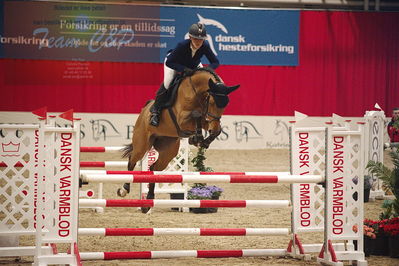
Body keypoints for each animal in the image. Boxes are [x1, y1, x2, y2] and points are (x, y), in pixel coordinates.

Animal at [117, 67, 239, 213]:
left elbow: (214, 127)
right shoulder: (182, 119)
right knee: (132, 161)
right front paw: (197, 137)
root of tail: (144, 110)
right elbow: (196, 115)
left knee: (153, 168)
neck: (196, 91)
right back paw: (124, 189)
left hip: (168, 151)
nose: (211, 129)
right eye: (211, 102)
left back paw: (148, 202)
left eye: (225, 105)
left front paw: (203, 141)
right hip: (142, 144)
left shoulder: (207, 120)